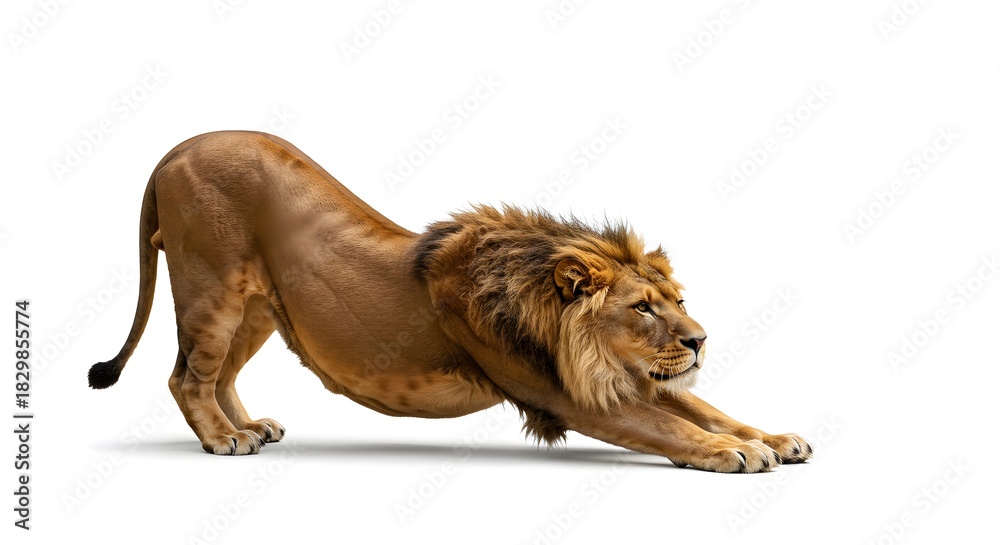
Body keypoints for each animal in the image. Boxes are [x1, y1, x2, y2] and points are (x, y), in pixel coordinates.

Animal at [88, 130, 812, 472]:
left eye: (679, 298)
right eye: (642, 307)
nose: (699, 339)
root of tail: (180, 147)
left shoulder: (616, 376)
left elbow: (709, 409)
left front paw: (776, 437)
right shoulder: (565, 393)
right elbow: (673, 426)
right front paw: (734, 453)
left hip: (258, 310)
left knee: (220, 375)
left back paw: (249, 426)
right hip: (210, 288)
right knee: (186, 376)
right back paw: (224, 439)